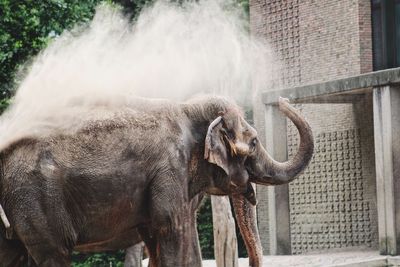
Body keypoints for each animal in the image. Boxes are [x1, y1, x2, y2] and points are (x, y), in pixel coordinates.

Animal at [0, 96, 312, 267]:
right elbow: (171, 229)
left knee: (13, 255)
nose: (284, 100)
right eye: (255, 142)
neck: (187, 109)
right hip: (34, 199)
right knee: (53, 253)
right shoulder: (169, 171)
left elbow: (154, 237)